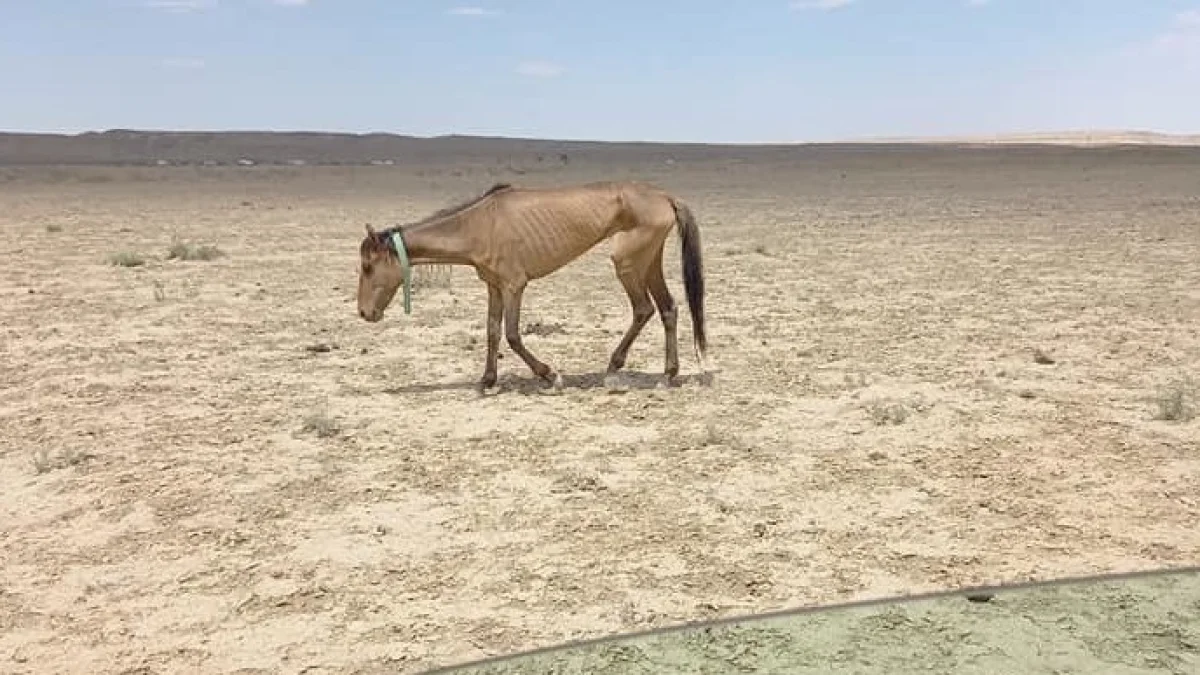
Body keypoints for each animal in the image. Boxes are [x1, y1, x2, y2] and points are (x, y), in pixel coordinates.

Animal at [355, 180, 710, 389]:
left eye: (367, 267)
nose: (364, 312)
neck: (479, 225)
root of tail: (665, 196)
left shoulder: (515, 286)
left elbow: (512, 335)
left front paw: (550, 374)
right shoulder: (494, 287)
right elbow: (492, 331)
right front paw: (488, 380)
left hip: (626, 262)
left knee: (643, 309)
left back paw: (615, 368)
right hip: (647, 261)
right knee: (668, 308)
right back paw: (668, 373)